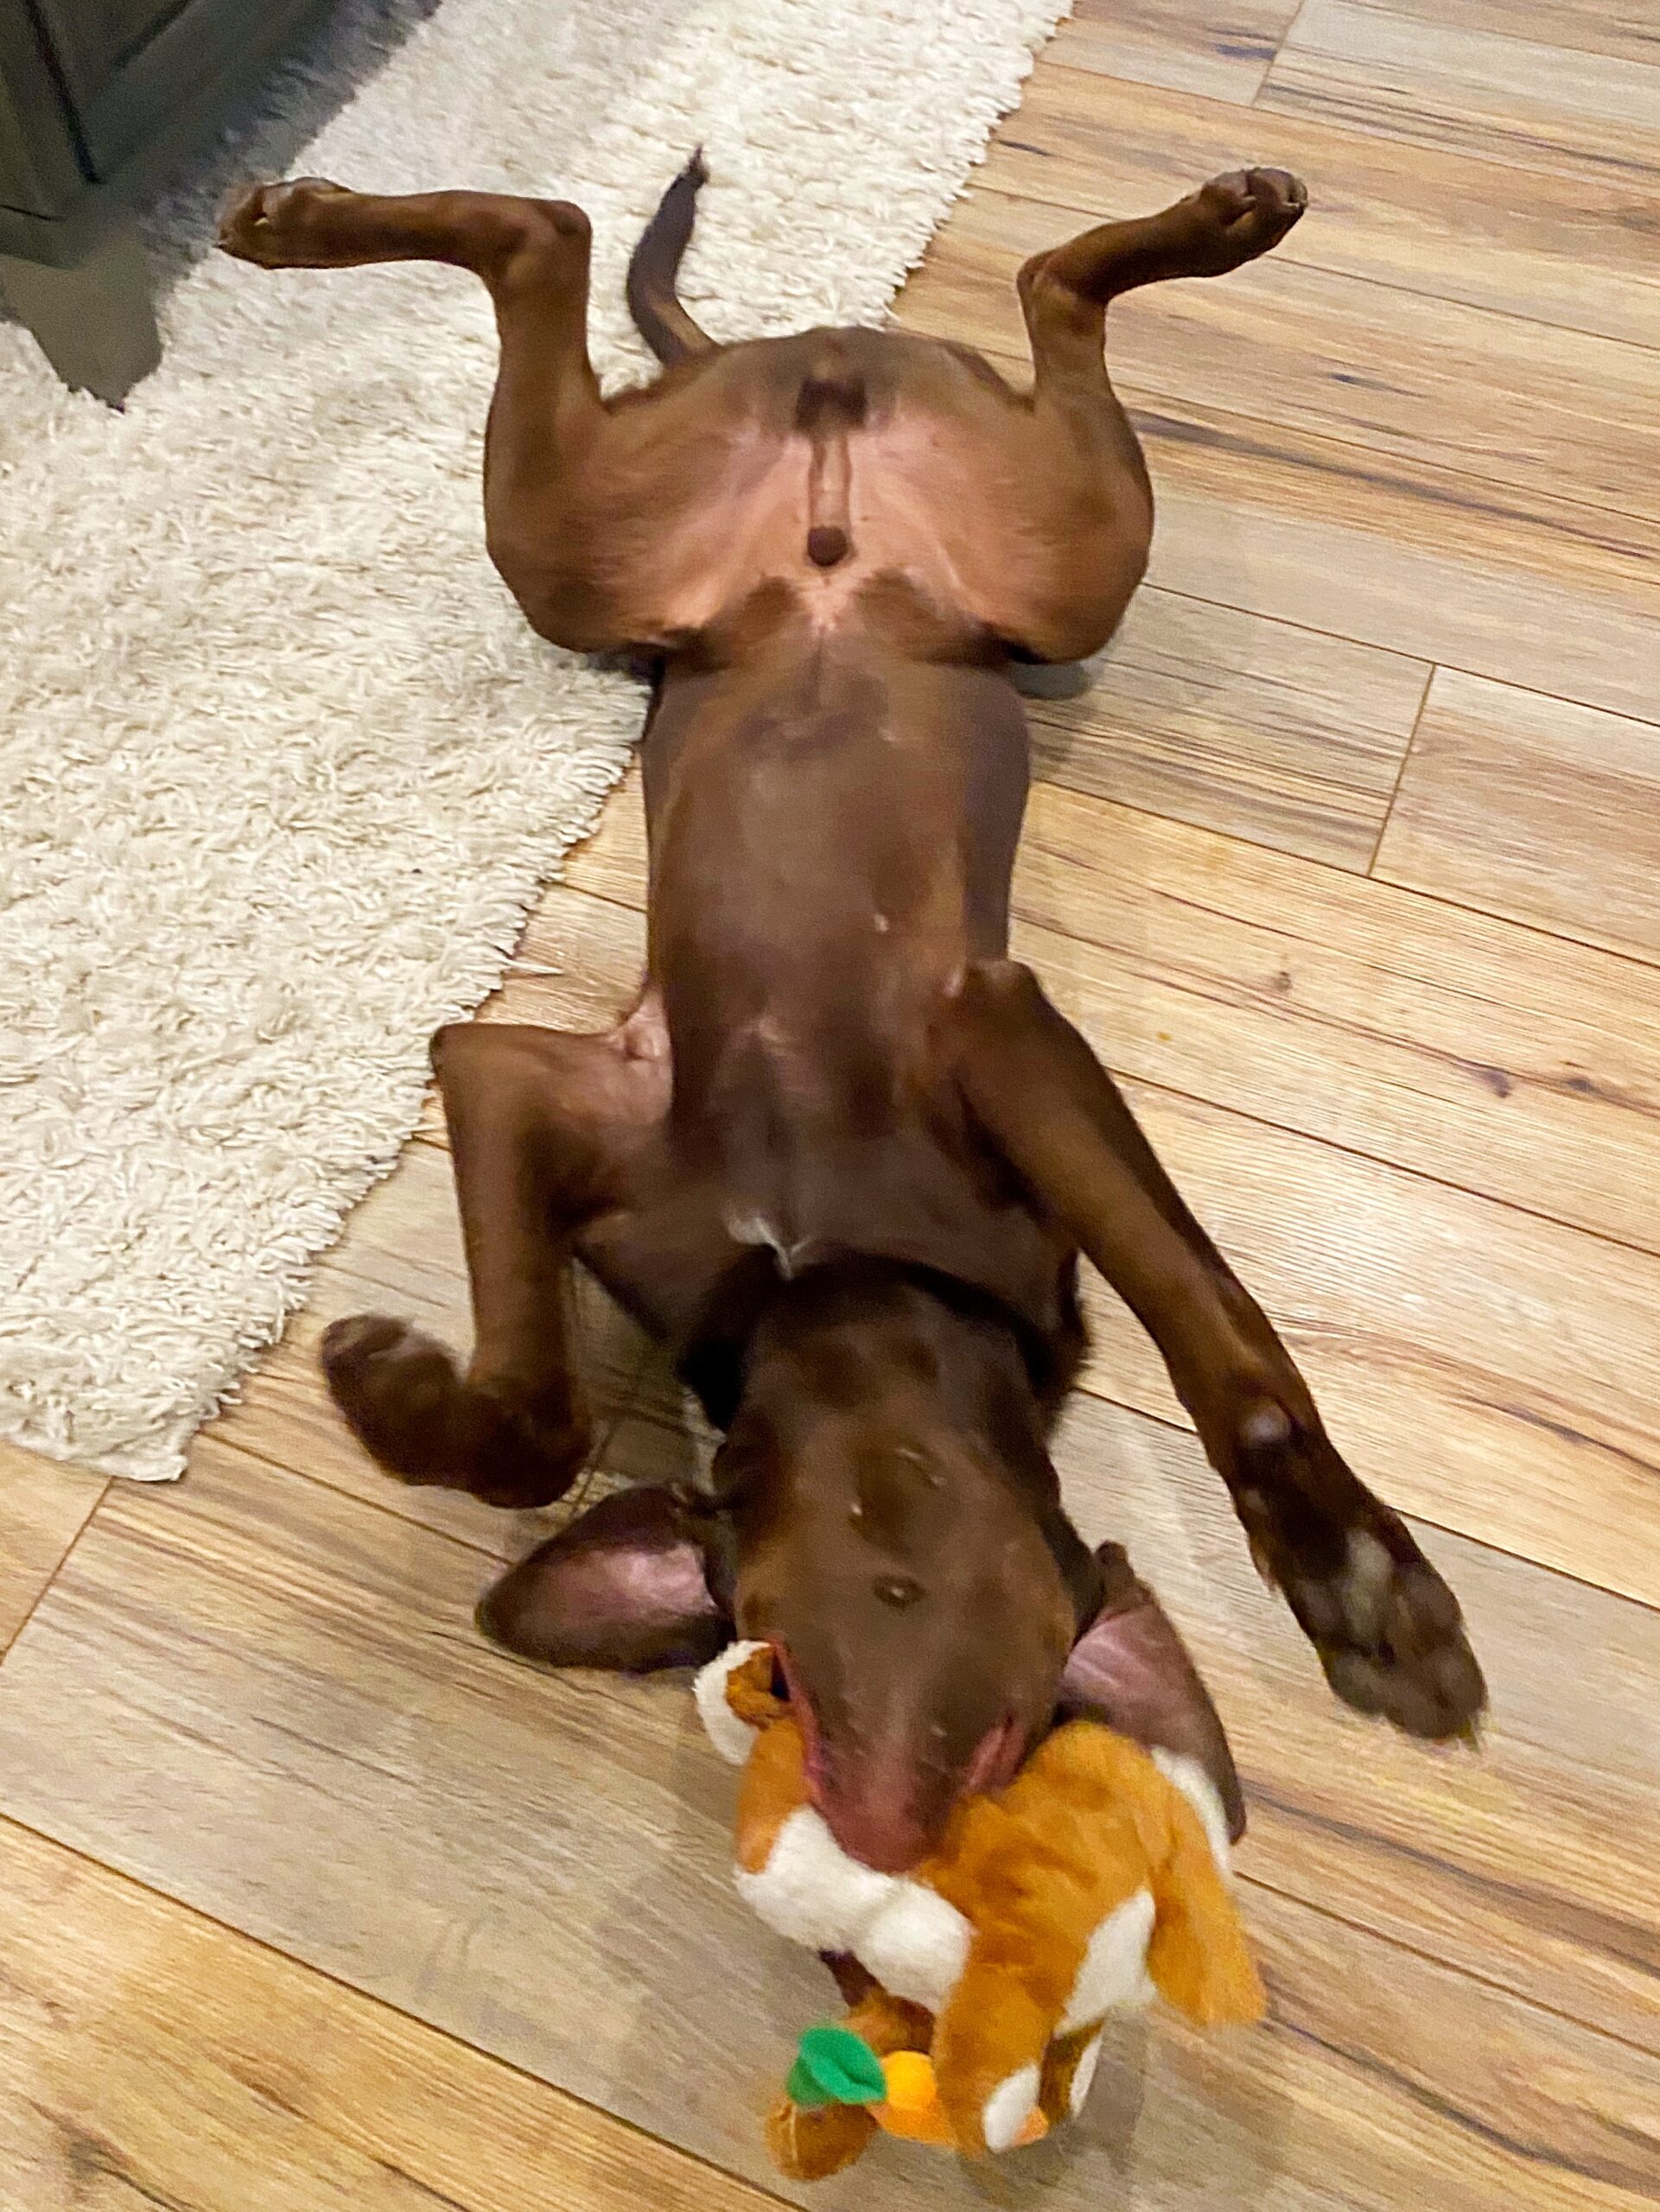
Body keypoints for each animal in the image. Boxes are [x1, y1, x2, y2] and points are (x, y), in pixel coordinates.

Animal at [224, 156, 1496, 1875]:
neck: (829, 1282)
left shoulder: (997, 1038)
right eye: (760, 1673)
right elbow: (536, 1421)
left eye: (1017, 1757)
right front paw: (401, 1389)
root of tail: (811, 363)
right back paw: (301, 224)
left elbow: (1217, 1333)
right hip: (603, 555)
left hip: (1033, 557)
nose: (877, 1830)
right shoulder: (522, 1079)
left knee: (982, 281)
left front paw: (1350, 1574)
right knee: (573, 237)